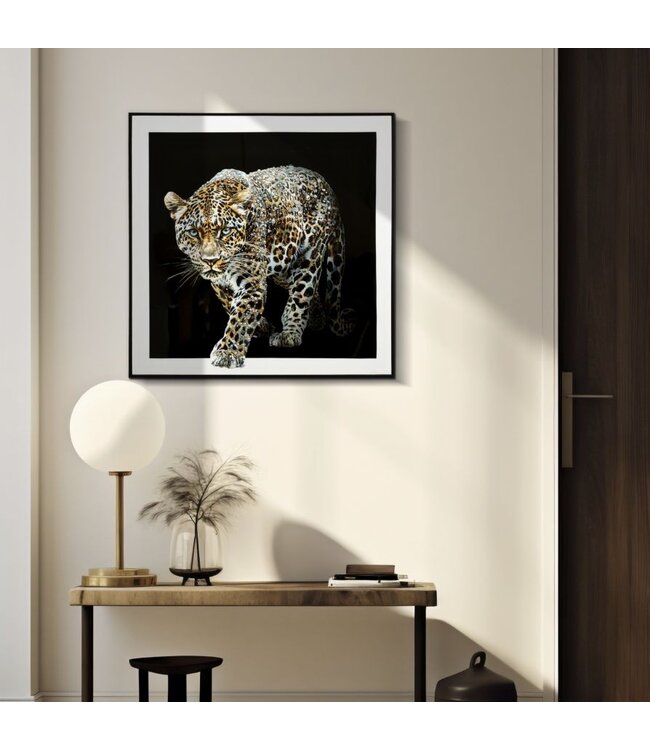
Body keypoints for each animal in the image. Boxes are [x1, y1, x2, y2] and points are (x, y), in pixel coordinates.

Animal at [164, 166, 355, 368]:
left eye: (225, 231)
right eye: (193, 232)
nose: (211, 260)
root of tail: (327, 186)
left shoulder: (253, 281)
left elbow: (241, 316)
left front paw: (227, 352)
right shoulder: (220, 283)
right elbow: (229, 302)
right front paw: (260, 326)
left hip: (309, 254)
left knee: (302, 293)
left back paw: (290, 333)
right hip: (283, 263)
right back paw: (317, 319)